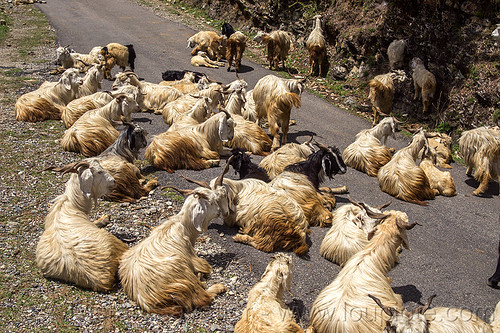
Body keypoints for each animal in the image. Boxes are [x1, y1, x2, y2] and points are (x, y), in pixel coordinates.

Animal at [36, 158, 128, 290]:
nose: (114, 181)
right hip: (114, 242)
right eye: (99, 172)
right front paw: (105, 218)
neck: (72, 204)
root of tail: (101, 278)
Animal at [119, 167, 230, 316]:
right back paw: (218, 287)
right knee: (202, 297)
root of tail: (146, 299)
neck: (184, 227)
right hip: (183, 274)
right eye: (211, 202)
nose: (219, 212)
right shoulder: (194, 258)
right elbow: (206, 267)